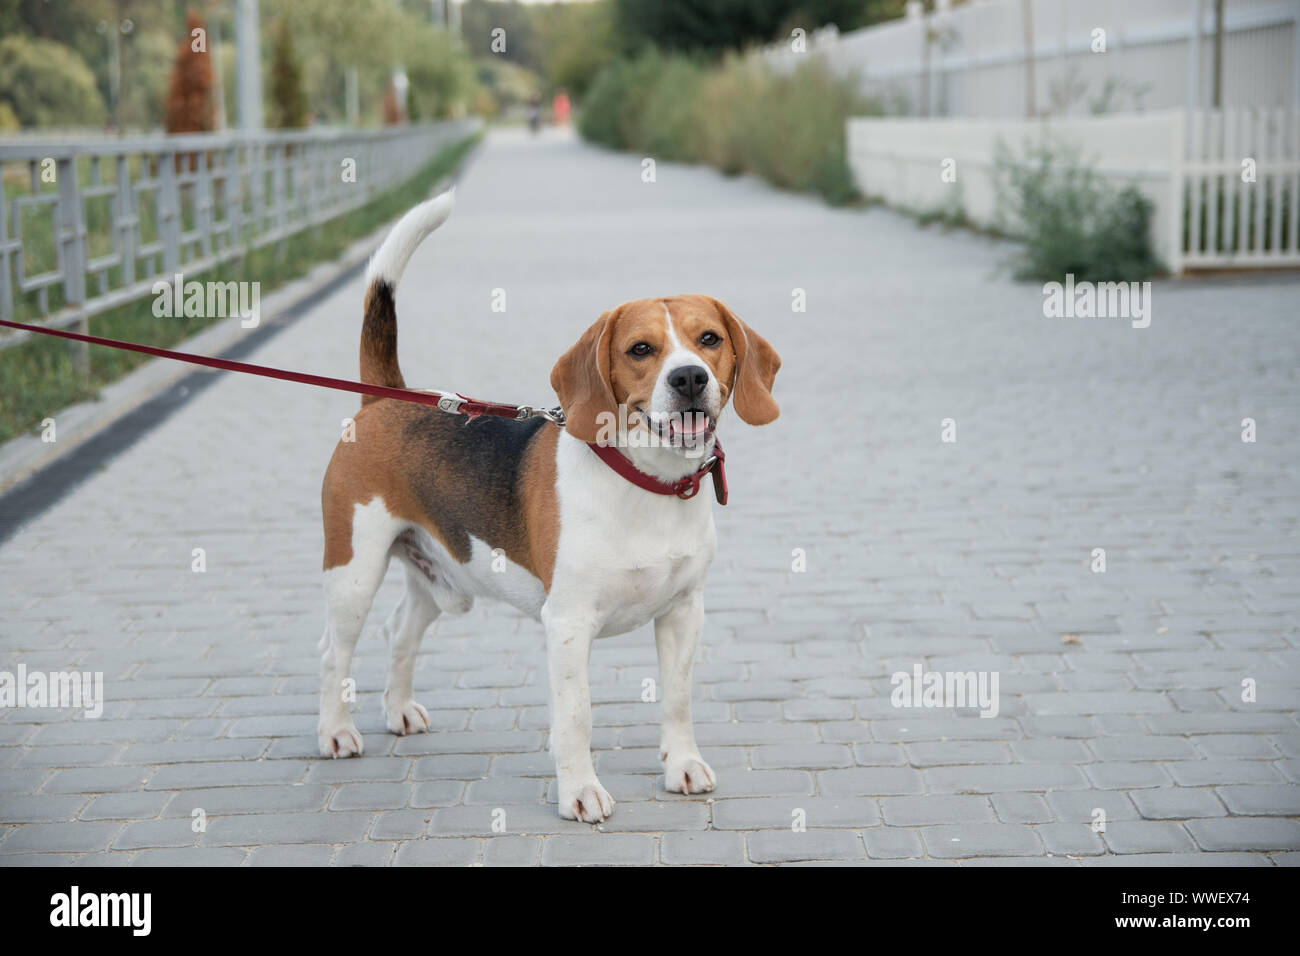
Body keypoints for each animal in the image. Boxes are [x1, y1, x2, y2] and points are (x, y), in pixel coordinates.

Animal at [314, 195, 780, 822]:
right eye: (641, 349)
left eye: (709, 339)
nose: (689, 377)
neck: (645, 483)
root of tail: (386, 398)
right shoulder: (568, 625)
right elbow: (576, 717)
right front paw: (580, 791)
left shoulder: (684, 612)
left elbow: (678, 699)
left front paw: (681, 765)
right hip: (353, 572)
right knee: (333, 652)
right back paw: (336, 732)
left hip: (443, 575)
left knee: (400, 630)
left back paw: (399, 710)